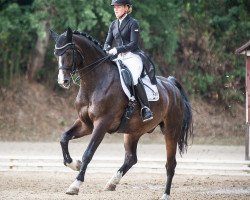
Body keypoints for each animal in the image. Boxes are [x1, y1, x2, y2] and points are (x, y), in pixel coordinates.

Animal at [48, 27, 193, 200]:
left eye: (69, 53)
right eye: (56, 54)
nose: (62, 81)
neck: (95, 83)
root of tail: (171, 84)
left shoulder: (102, 124)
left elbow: (88, 153)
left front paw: (75, 185)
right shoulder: (86, 124)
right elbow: (64, 138)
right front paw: (74, 164)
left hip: (171, 131)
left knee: (170, 163)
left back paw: (165, 194)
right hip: (133, 131)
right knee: (131, 158)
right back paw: (112, 183)